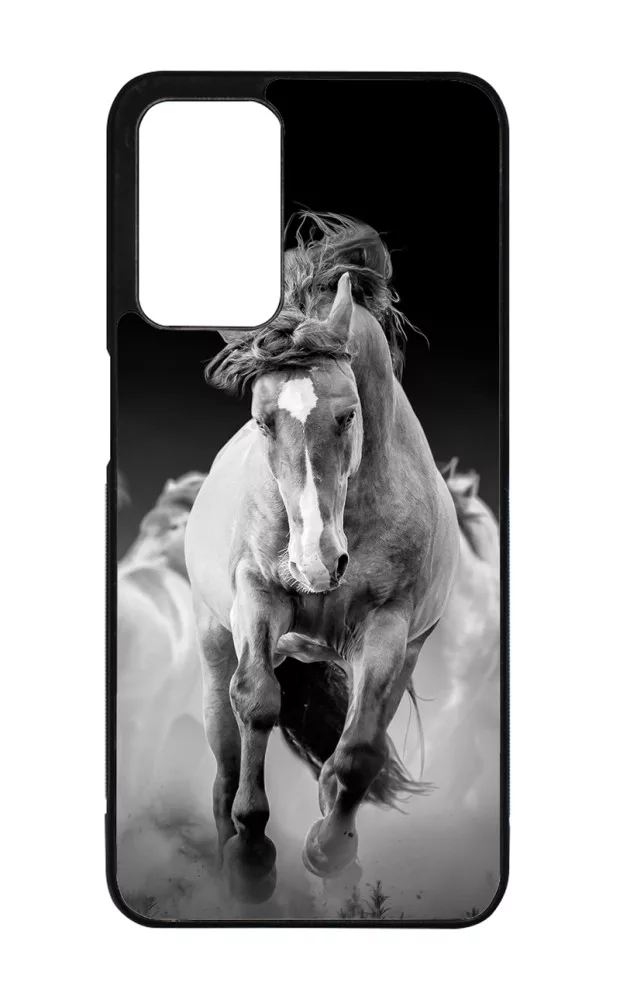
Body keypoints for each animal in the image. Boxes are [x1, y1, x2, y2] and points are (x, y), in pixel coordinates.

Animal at [185, 213, 460, 903]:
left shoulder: (388, 627)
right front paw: (253, 857)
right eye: (262, 421)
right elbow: (257, 702)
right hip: (212, 643)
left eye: (348, 413)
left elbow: (359, 752)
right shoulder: (257, 598)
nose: (315, 563)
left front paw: (329, 851)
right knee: (225, 759)